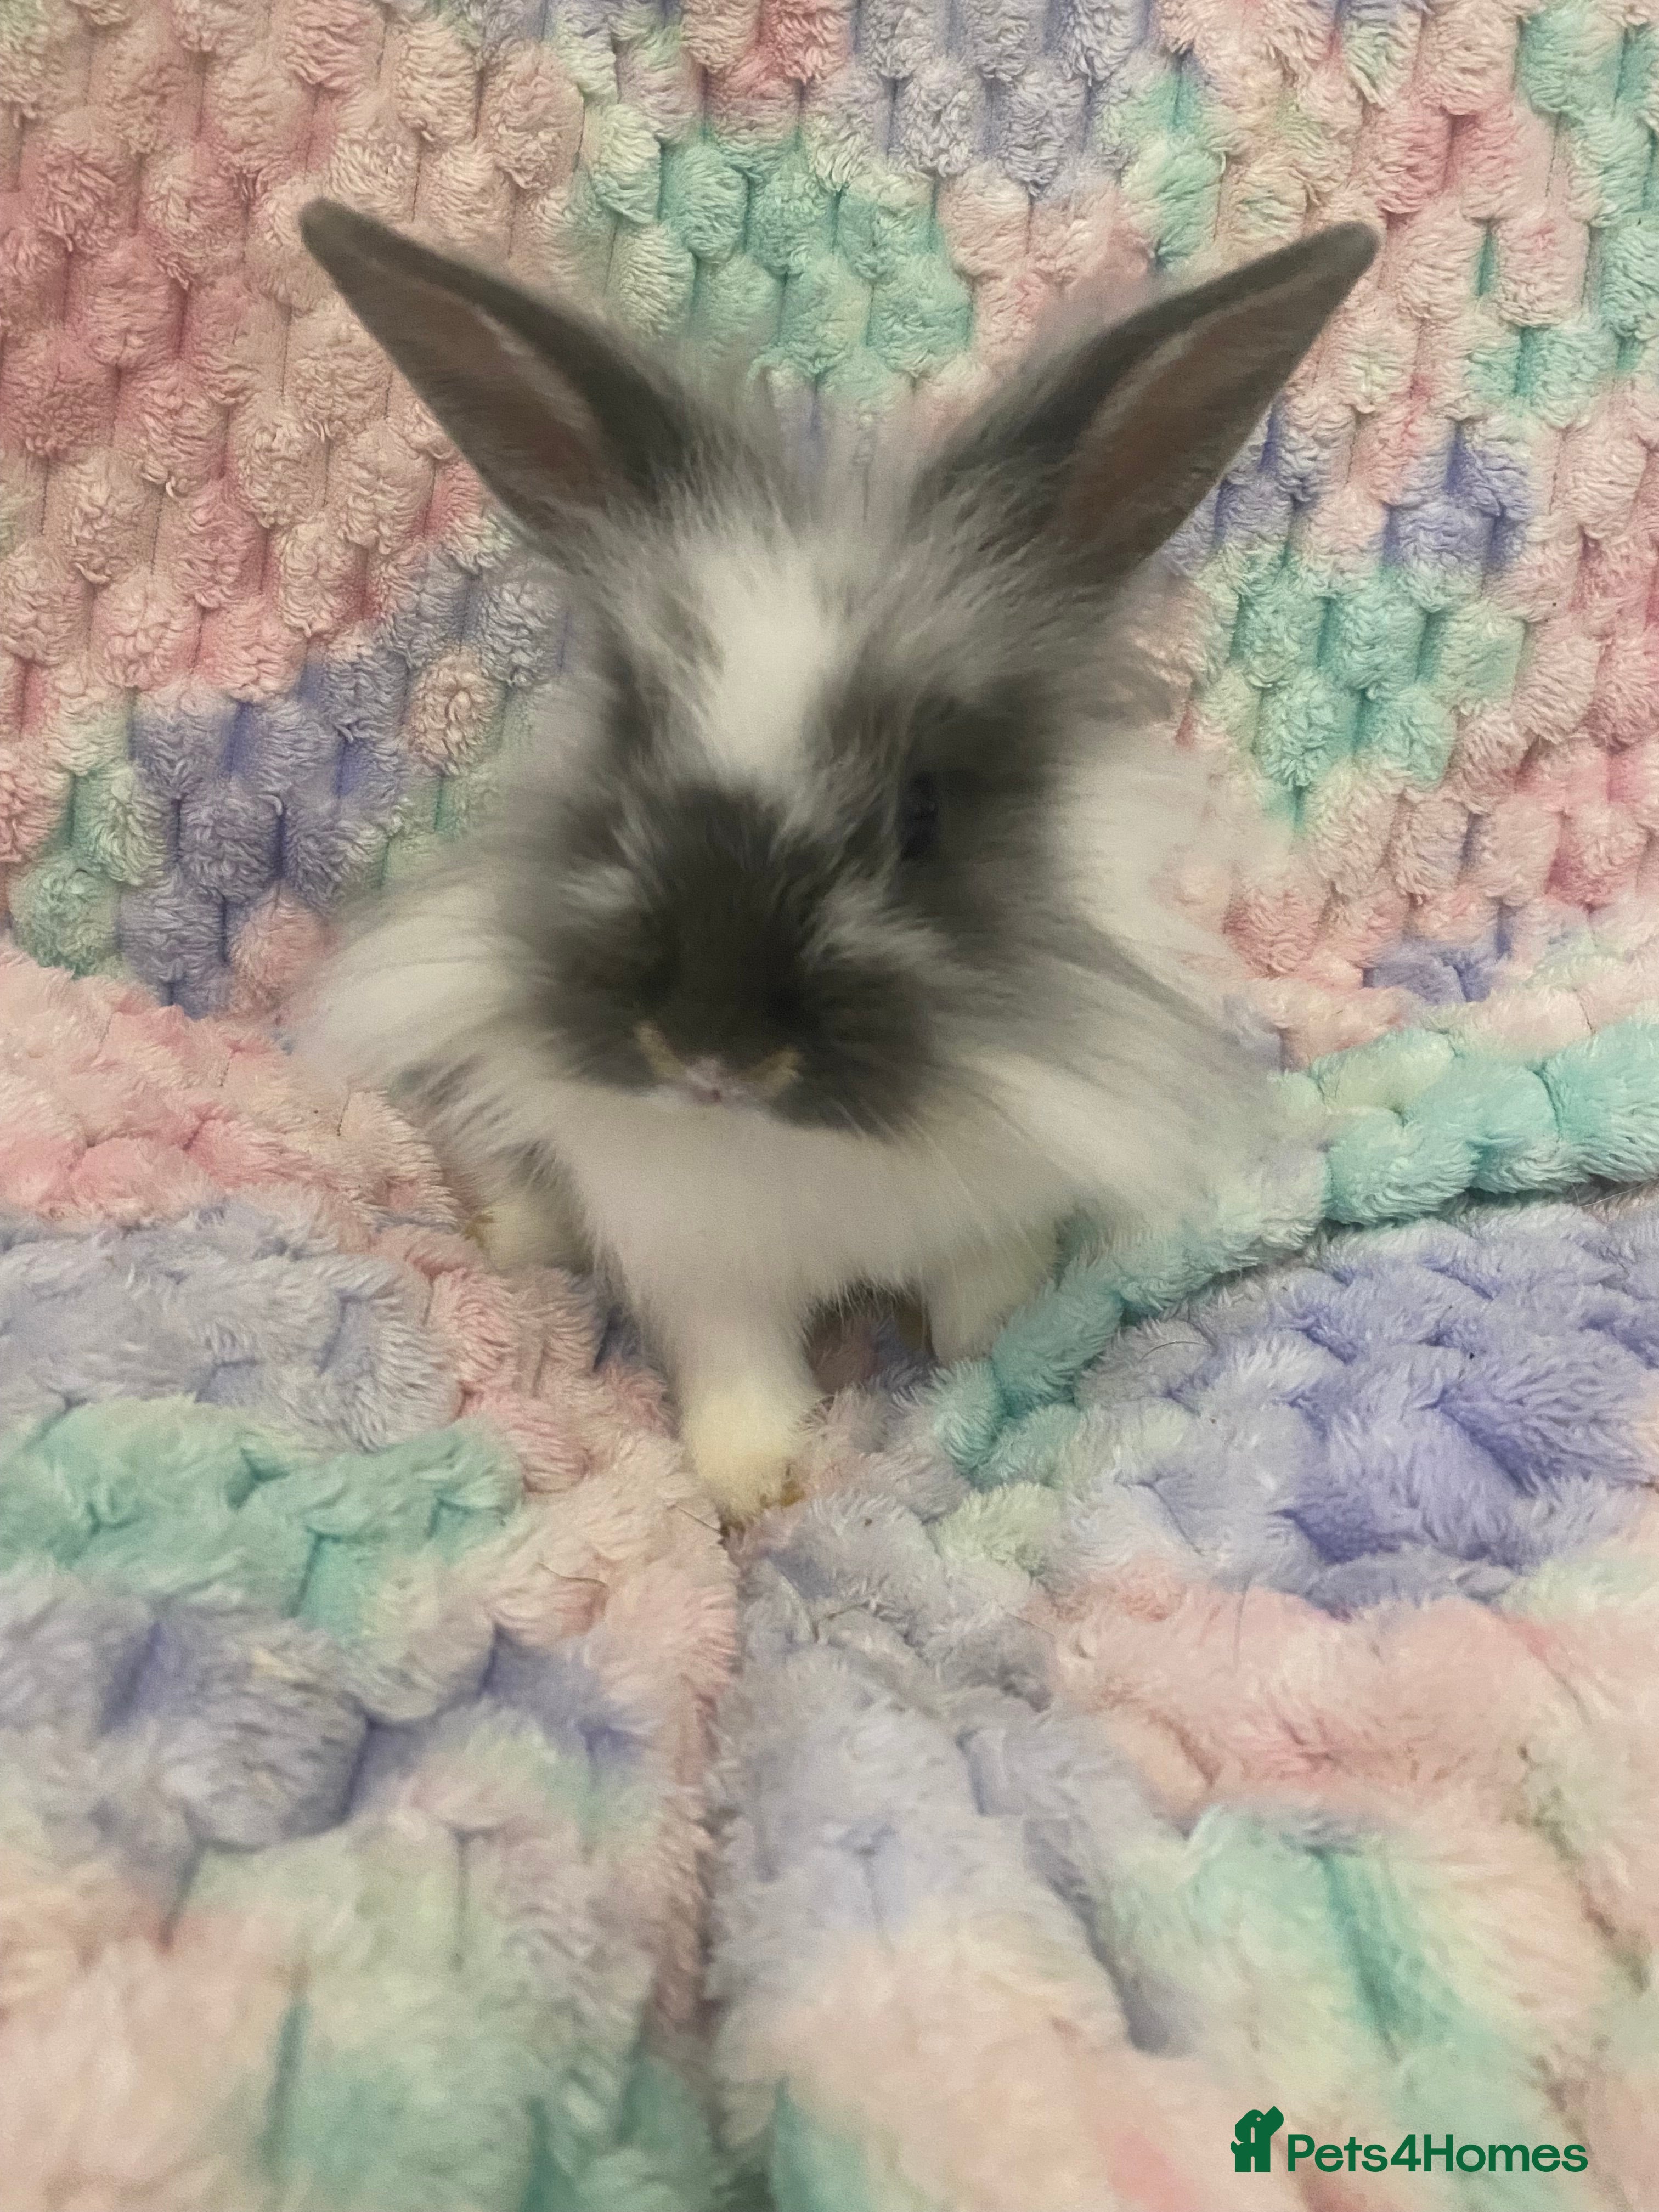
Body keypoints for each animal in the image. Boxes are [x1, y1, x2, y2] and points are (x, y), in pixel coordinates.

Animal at [298, 200, 1376, 1522]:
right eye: (629, 758)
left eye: (921, 813)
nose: (708, 1054)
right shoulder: (697, 1261)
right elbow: (737, 1370)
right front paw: (755, 1485)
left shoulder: (992, 1215)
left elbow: (982, 1309)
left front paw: (985, 1376)